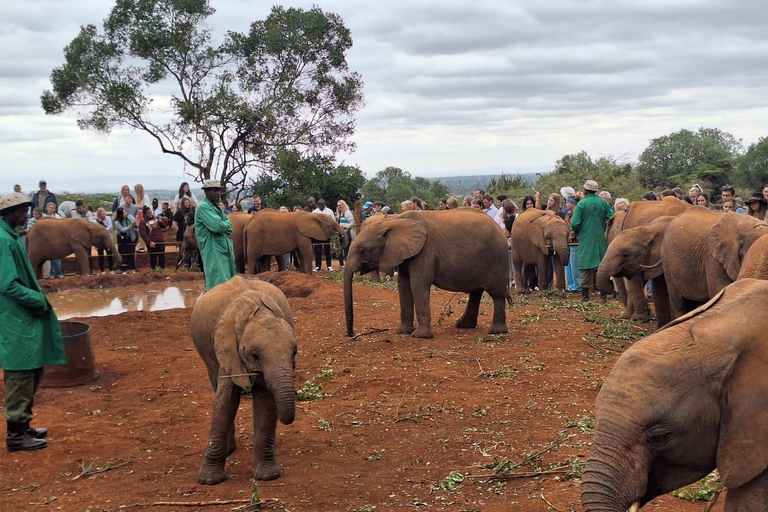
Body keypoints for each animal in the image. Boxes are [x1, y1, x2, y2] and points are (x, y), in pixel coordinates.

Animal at [190, 276, 298, 484]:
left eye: (294, 353)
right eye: (254, 355)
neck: (259, 313)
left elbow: (266, 402)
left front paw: (267, 476)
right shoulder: (227, 347)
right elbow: (226, 402)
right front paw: (209, 481)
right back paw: (230, 450)